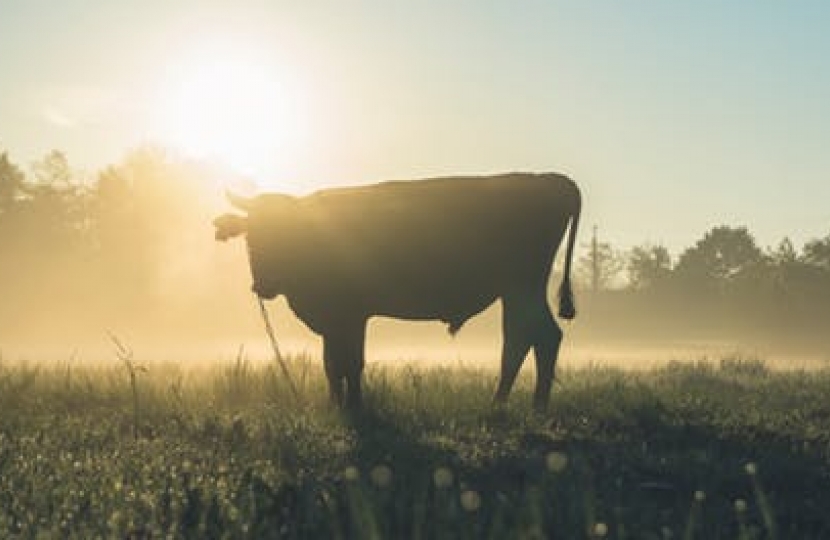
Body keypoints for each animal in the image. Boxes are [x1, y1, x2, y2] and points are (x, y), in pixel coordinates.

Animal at [218, 172, 580, 410]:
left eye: (286, 231)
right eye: (251, 235)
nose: (263, 284)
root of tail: (550, 179)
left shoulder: (351, 315)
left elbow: (350, 362)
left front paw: (354, 407)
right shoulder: (335, 320)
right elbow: (331, 363)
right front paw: (336, 404)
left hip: (521, 287)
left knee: (529, 338)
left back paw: (513, 404)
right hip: (519, 291)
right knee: (534, 337)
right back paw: (522, 403)